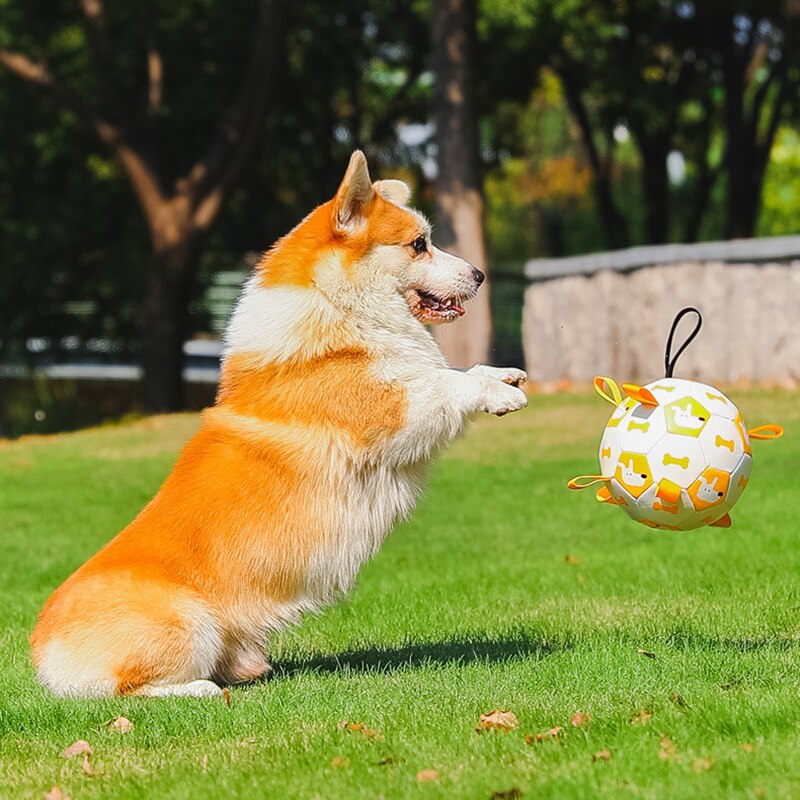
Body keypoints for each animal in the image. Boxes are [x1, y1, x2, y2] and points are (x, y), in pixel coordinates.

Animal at [31, 153, 528, 696]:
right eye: (420, 244)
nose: (479, 274)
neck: (338, 304)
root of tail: (45, 657)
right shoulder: (395, 409)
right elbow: (445, 385)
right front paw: (499, 394)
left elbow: (459, 371)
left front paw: (503, 373)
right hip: (190, 622)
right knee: (129, 690)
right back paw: (201, 689)